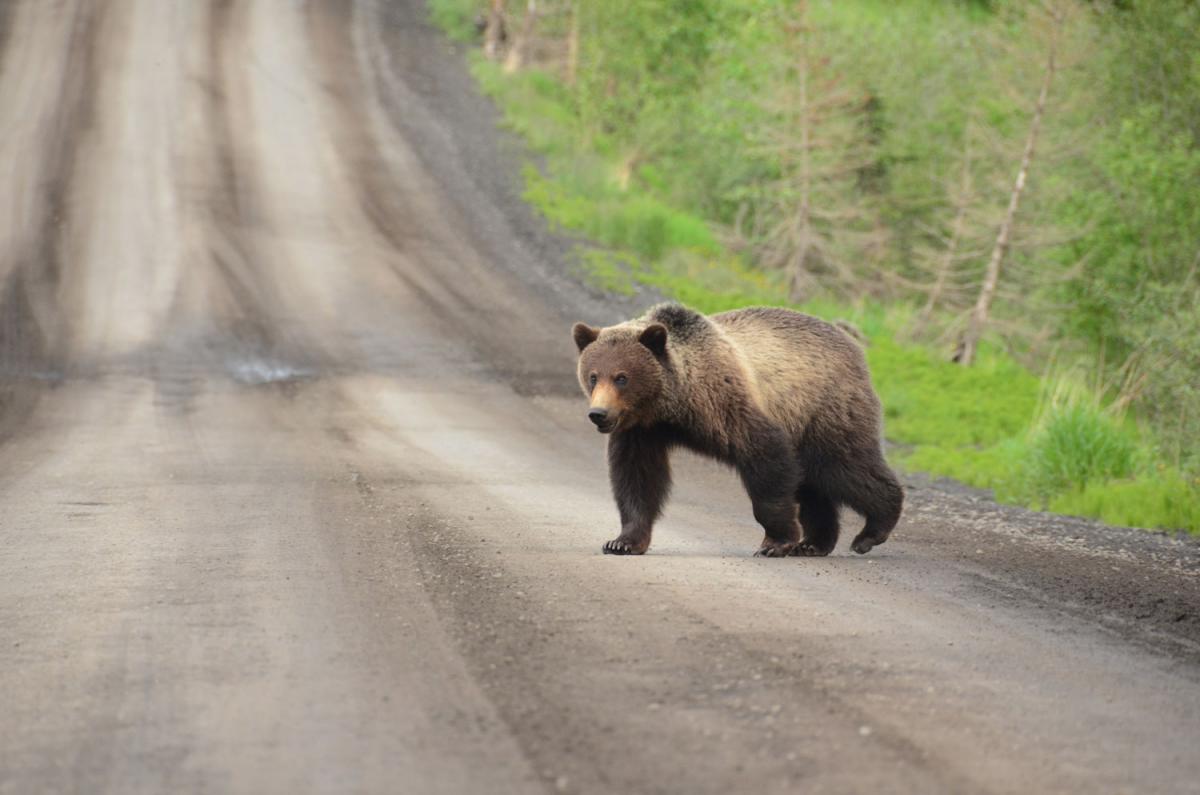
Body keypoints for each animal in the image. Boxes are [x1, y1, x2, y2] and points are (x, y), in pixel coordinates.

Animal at [571, 303, 903, 557]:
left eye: (622, 377)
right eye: (593, 376)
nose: (598, 414)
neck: (673, 404)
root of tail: (852, 346)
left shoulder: (725, 403)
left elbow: (765, 456)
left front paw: (775, 542)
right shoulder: (641, 430)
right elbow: (636, 478)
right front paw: (622, 542)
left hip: (822, 410)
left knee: (844, 466)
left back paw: (871, 531)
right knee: (814, 483)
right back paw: (815, 543)